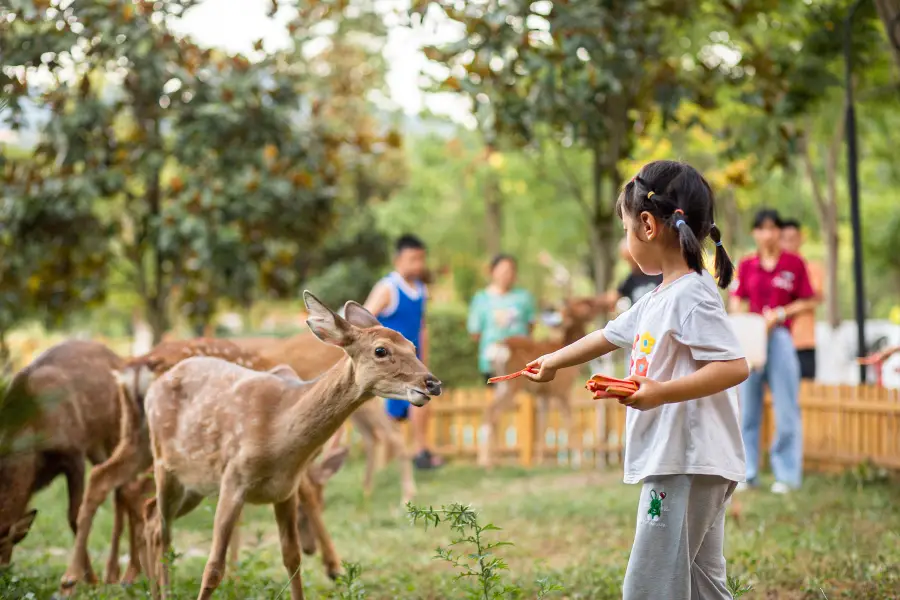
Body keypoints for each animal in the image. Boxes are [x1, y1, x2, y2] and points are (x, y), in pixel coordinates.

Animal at [0, 340, 148, 580]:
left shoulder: (73, 451)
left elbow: (74, 516)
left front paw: (89, 580)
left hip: (118, 432)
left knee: (130, 490)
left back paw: (129, 573)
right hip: (98, 446)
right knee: (122, 490)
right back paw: (120, 574)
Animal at [59, 338, 348, 596]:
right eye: (303, 516)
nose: (310, 548)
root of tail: (137, 366)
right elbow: (306, 491)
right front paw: (335, 568)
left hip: (137, 437)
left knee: (107, 480)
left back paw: (89, 579)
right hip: (166, 456)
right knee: (136, 495)